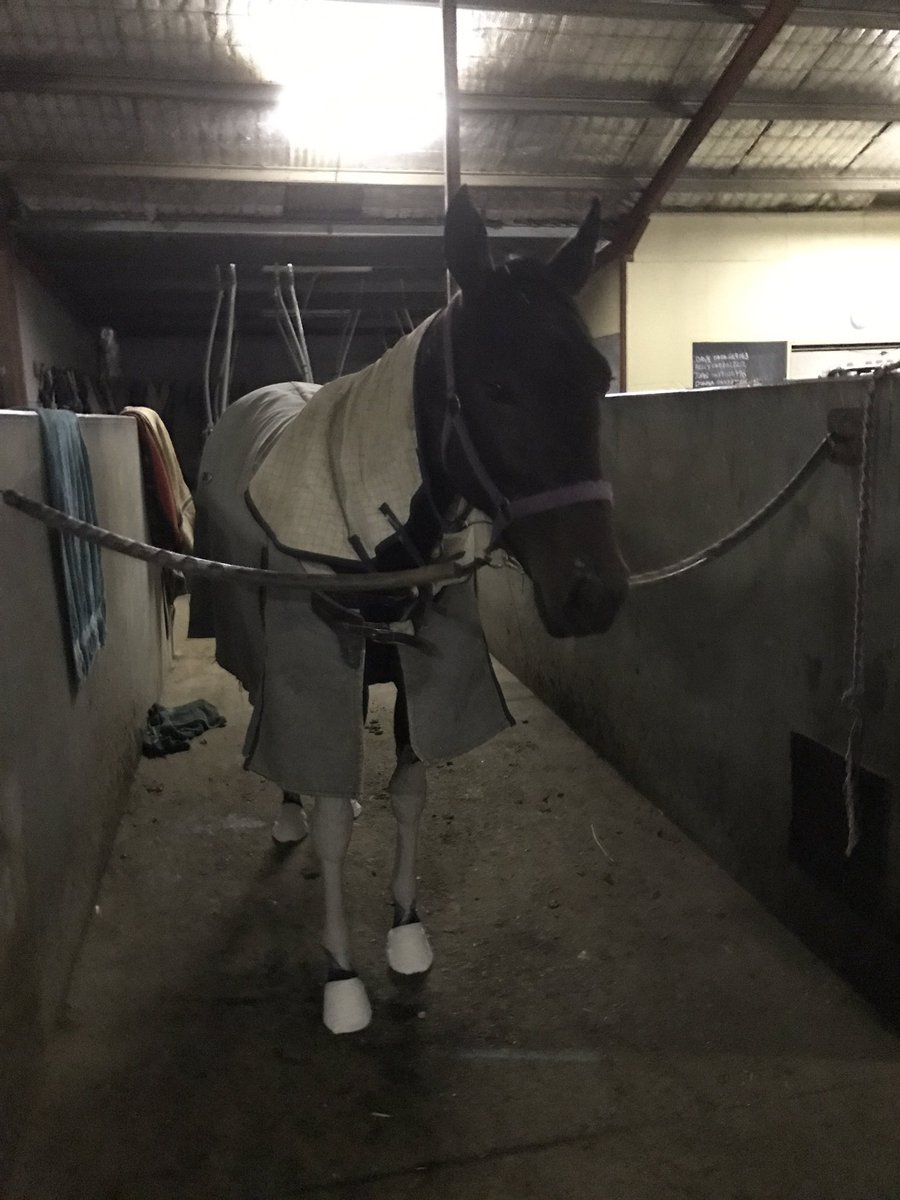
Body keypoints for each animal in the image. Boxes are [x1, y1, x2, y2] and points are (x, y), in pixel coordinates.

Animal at [189, 186, 629, 1033]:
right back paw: (288, 809)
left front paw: (406, 932)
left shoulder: (426, 667)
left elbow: (411, 792)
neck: (373, 522)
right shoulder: (320, 668)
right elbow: (329, 821)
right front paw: (341, 978)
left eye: (599, 378)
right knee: (273, 724)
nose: (594, 592)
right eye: (496, 387)